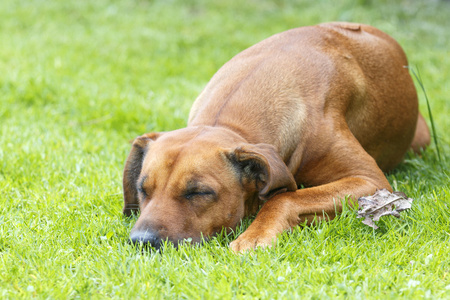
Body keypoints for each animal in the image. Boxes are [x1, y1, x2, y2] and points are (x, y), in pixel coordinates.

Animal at [121, 22, 430, 253]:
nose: (142, 241)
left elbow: (283, 198)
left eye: (199, 192)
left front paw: (254, 236)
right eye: (142, 189)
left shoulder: (371, 181)